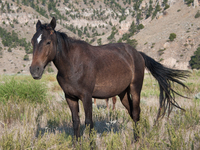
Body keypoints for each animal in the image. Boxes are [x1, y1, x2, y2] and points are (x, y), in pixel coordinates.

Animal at [28, 17, 190, 141]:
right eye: (32, 42)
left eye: (48, 42)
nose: (35, 70)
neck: (72, 64)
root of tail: (138, 54)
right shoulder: (70, 98)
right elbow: (75, 122)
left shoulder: (86, 97)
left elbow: (89, 122)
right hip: (123, 93)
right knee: (132, 112)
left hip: (135, 89)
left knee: (136, 113)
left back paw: (137, 140)